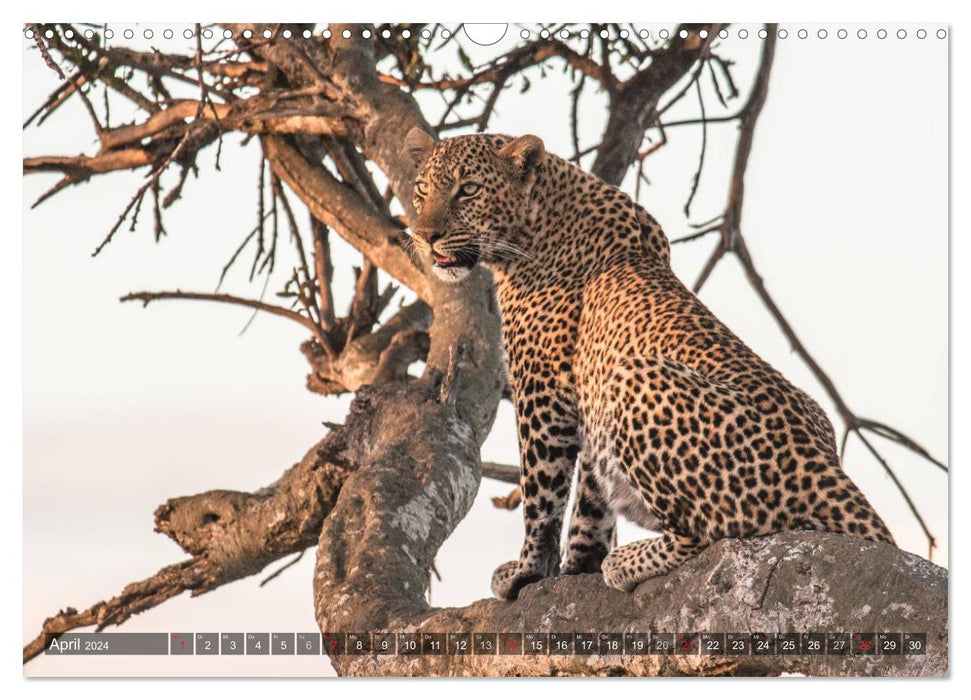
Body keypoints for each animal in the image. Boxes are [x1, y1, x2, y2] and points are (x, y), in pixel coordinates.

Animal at [402, 127, 896, 600]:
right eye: (422, 191)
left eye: (467, 190)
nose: (425, 235)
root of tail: (828, 472)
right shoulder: (589, 397)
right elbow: (591, 500)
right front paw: (578, 565)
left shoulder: (542, 391)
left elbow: (542, 494)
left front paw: (528, 570)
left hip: (635, 377)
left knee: (710, 531)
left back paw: (627, 562)